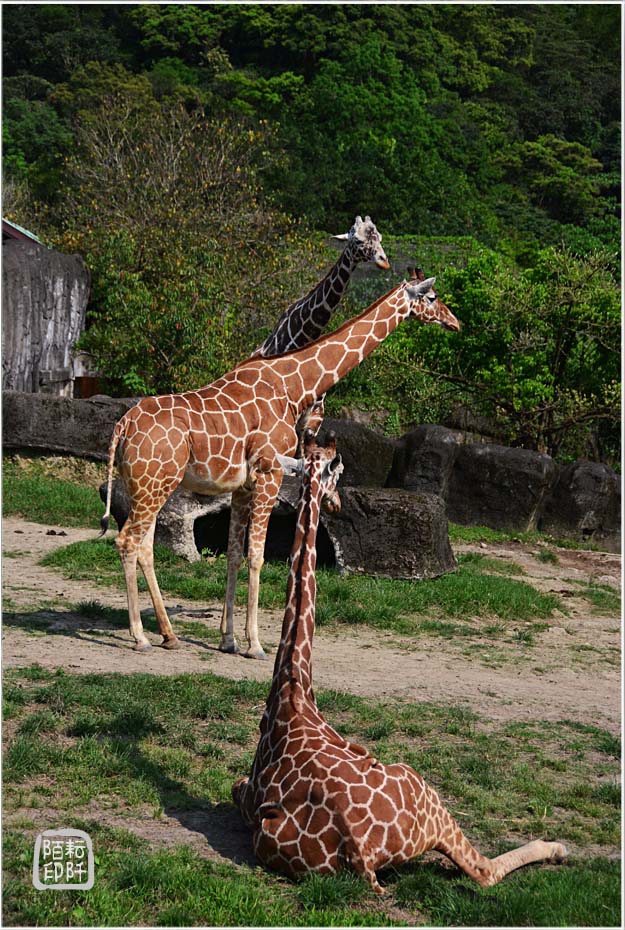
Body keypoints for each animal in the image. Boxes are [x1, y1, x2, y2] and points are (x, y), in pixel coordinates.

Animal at [98, 272, 458, 656]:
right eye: (432, 297)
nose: (455, 322)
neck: (292, 386)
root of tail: (123, 425)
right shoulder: (269, 473)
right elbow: (256, 555)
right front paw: (255, 643)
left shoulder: (242, 486)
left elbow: (234, 554)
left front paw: (228, 639)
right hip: (155, 483)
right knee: (127, 542)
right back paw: (140, 636)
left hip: (149, 485)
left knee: (145, 546)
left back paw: (169, 634)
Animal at [233, 434, 564, 892]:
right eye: (341, 472)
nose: (337, 504)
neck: (293, 682)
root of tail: (361, 856)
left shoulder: (248, 796)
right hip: (424, 791)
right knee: (483, 872)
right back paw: (556, 846)